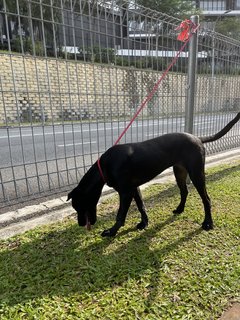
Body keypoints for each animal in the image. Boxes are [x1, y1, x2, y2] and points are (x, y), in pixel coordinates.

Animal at [67, 112, 240, 235]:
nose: (80, 224)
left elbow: (121, 214)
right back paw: (180, 209)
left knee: (206, 199)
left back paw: (208, 223)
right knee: (184, 191)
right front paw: (144, 223)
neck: (104, 167)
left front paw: (112, 231)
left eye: (78, 206)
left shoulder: (125, 192)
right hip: (179, 172)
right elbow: (141, 206)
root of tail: (197, 138)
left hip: (197, 174)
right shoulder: (134, 189)